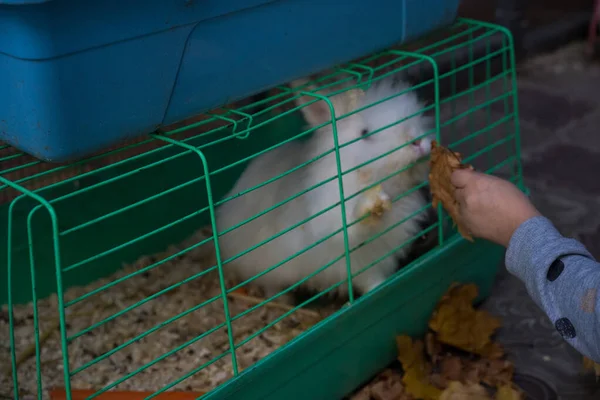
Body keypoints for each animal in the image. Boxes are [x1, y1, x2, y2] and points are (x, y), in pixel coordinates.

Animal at [216, 73, 432, 302]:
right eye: (365, 133)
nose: (417, 142)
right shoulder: (337, 228)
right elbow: (349, 226)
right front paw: (370, 206)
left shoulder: (377, 261)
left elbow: (374, 281)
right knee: (272, 288)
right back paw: (286, 302)